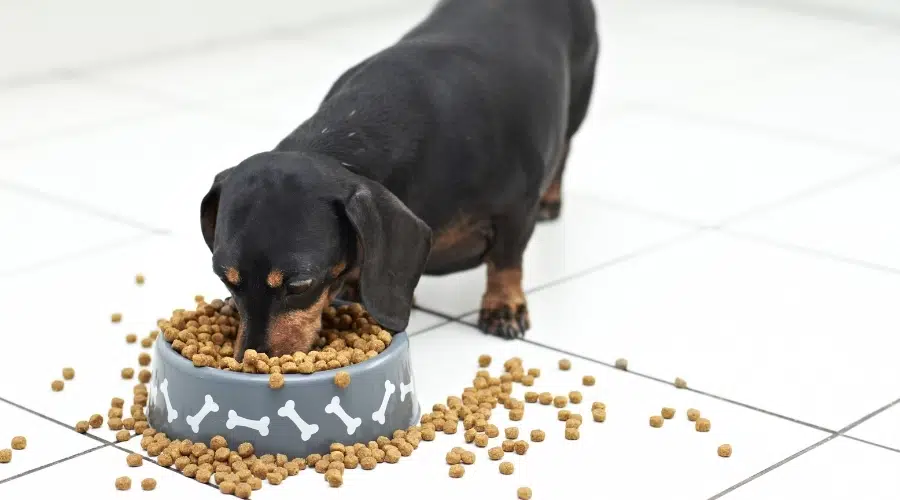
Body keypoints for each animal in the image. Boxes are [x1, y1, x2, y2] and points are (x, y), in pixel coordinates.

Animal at [200, 0, 600, 360]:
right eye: (225, 279)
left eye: (300, 285)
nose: (249, 360)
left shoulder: (515, 209)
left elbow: (506, 260)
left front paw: (504, 306)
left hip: (578, 103)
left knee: (565, 148)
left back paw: (551, 200)